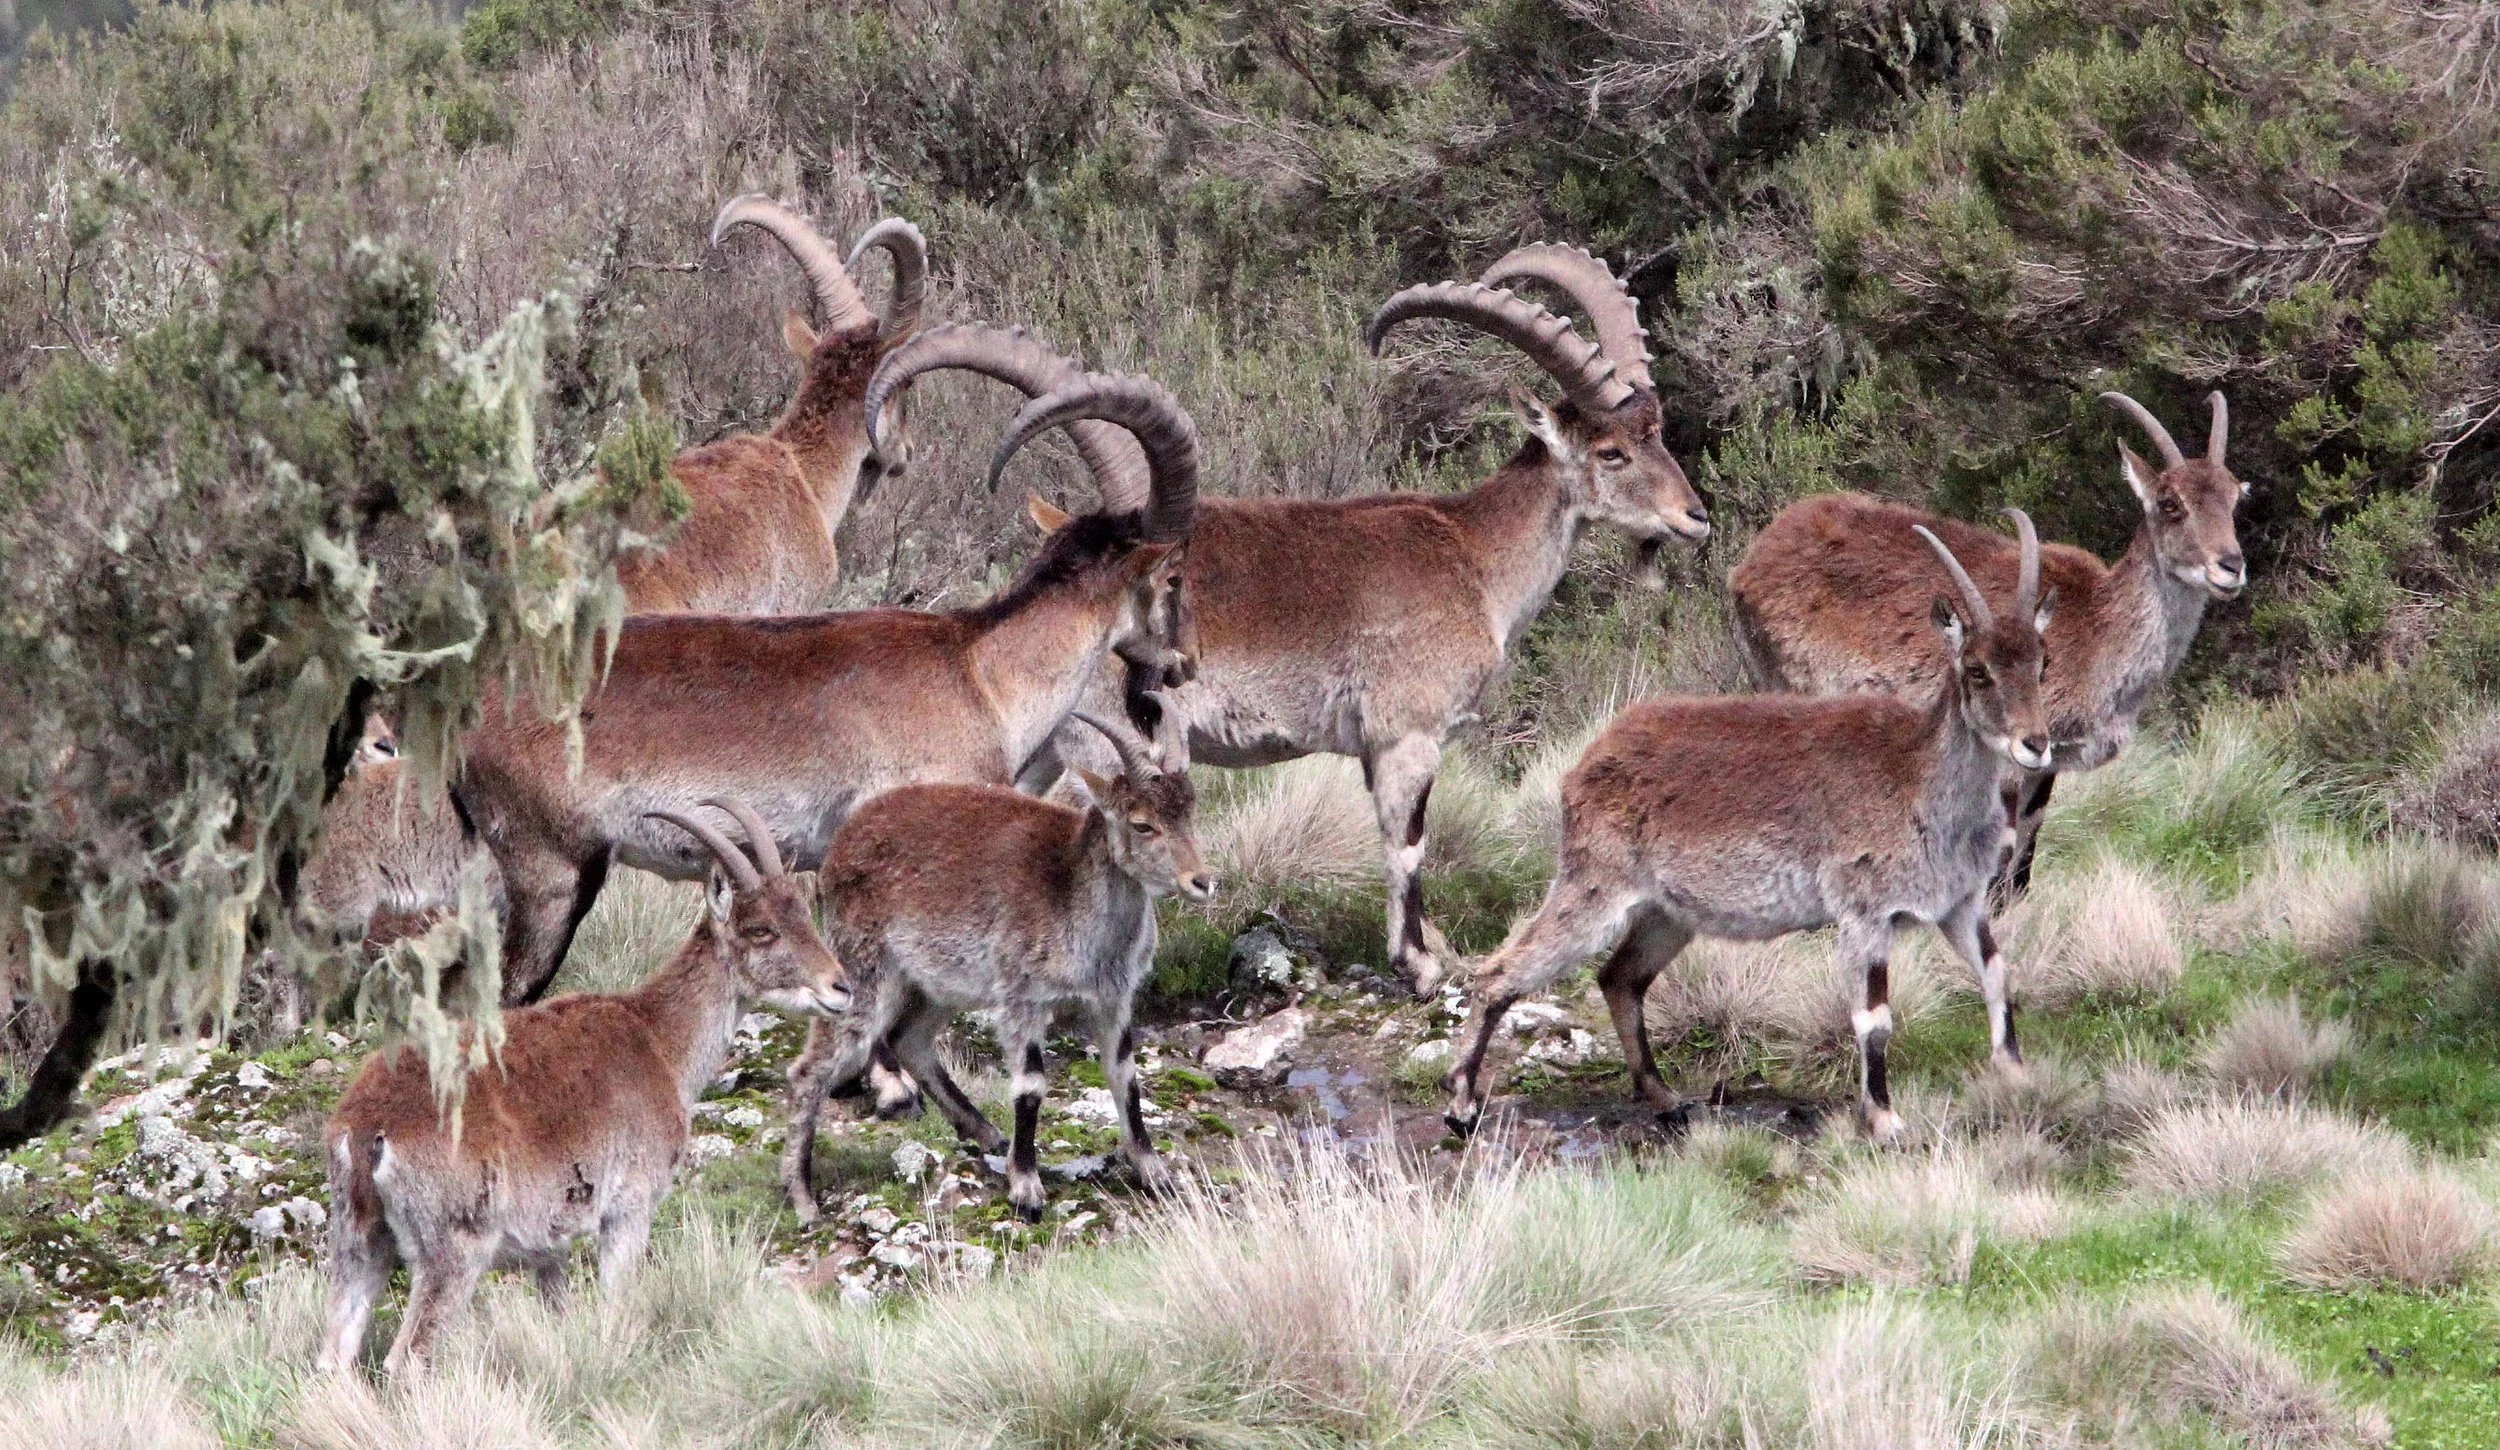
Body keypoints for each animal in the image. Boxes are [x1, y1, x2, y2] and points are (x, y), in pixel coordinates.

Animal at [318, 799, 846, 1377]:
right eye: (761, 929)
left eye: (803, 911)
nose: (839, 988)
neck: (659, 1040)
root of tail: (368, 1128)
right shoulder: (628, 1209)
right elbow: (619, 1301)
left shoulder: (549, 1246)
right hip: (454, 1246)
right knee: (408, 1356)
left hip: (358, 1242)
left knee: (334, 1353)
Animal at [785, 706, 1206, 1222]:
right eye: (1143, 824)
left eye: (1190, 813)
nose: (1201, 881)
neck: (1071, 893)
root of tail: (837, 850)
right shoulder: (1023, 997)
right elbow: (1031, 1085)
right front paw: (1026, 1188)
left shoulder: (1112, 1000)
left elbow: (1125, 1078)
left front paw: (1154, 1173)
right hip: (863, 971)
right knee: (812, 1069)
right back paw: (803, 1197)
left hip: (938, 983)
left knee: (909, 1039)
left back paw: (985, 1133)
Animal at [862, 246, 1709, 994]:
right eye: (1610, 452)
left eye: (1657, 430)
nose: (1694, 516)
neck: (1473, 558)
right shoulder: (1408, 734)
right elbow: (1408, 846)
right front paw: (1422, 968)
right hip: (1096, 743)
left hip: (1043, 749)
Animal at [1444, 514, 2056, 1140]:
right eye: (1976, 670)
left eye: (2042, 662)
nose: (2035, 744)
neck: (1919, 782)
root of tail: (1588, 764)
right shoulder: (1864, 912)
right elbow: (1874, 1019)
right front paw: (1884, 1118)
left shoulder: (1959, 904)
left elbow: (1996, 975)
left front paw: (2015, 1075)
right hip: (1594, 886)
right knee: (1501, 973)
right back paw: (1461, 1105)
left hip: (1667, 913)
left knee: (1619, 978)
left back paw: (1666, 1098)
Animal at [1730, 391, 2247, 897]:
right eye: (2170, 502)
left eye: (2234, 496)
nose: (2231, 566)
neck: (2100, 630)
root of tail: (1749, 563)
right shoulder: (2012, 757)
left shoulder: (2044, 764)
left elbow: (2023, 868)